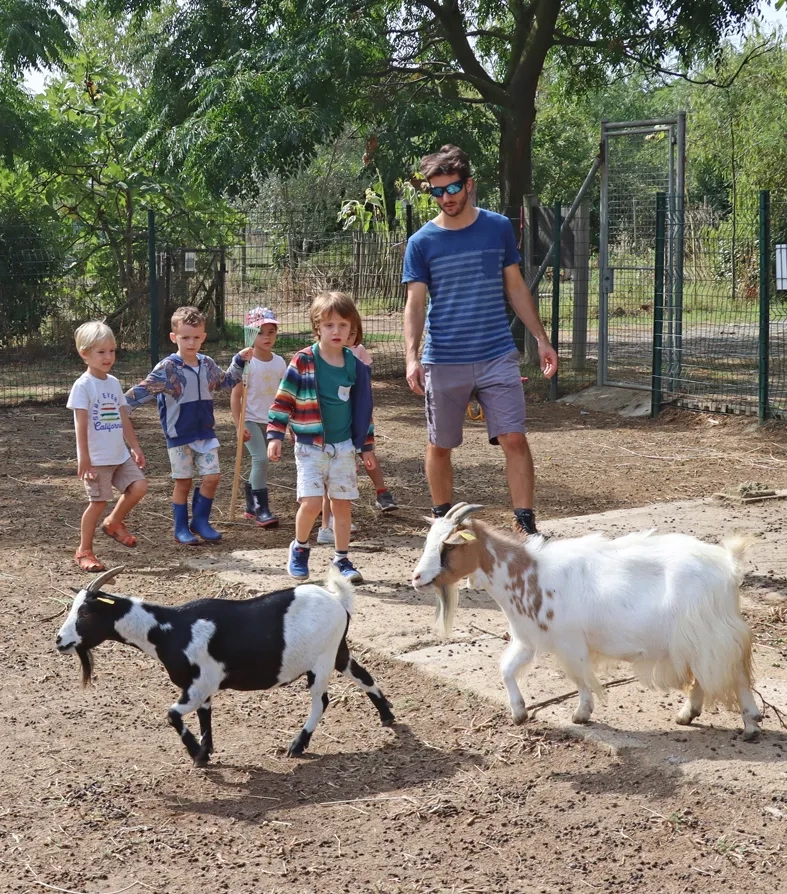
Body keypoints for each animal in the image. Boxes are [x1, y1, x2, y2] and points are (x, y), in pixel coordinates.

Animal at [56, 566, 394, 766]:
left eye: (85, 614)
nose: (60, 640)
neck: (170, 630)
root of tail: (339, 601)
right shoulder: (200, 689)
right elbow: (205, 718)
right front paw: (205, 753)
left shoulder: (198, 684)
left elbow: (172, 714)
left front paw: (195, 753)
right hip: (338, 651)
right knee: (362, 674)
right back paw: (387, 716)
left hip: (322, 661)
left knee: (321, 701)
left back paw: (298, 745)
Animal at [412, 503, 762, 741]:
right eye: (429, 541)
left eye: (448, 545)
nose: (416, 577)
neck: (528, 575)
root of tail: (728, 565)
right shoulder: (528, 638)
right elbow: (507, 669)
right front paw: (519, 712)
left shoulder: (570, 642)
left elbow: (580, 678)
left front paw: (581, 713)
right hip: (695, 639)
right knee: (704, 676)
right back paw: (688, 714)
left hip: (711, 635)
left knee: (736, 676)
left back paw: (750, 725)